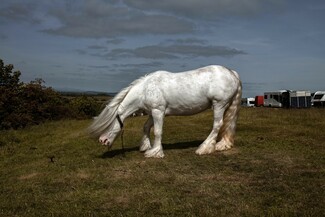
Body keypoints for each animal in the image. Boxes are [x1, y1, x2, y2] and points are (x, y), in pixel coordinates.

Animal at [88, 64, 240, 158]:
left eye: (109, 122)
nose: (102, 140)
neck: (145, 90)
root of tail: (232, 73)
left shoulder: (158, 111)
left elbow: (157, 131)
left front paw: (155, 152)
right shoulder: (152, 112)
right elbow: (146, 127)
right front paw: (146, 146)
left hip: (219, 104)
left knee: (217, 125)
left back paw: (204, 148)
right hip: (226, 106)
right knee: (226, 125)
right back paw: (222, 145)